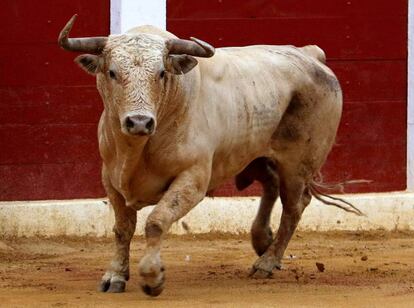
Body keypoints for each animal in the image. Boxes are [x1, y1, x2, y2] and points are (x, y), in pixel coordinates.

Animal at [59, 15, 356, 298]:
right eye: (112, 72)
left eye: (161, 73)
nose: (139, 122)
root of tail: (310, 54)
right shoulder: (110, 179)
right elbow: (122, 228)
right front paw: (115, 276)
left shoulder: (193, 179)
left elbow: (155, 221)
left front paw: (152, 277)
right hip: (252, 154)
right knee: (271, 184)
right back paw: (262, 241)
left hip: (298, 165)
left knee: (294, 206)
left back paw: (267, 262)